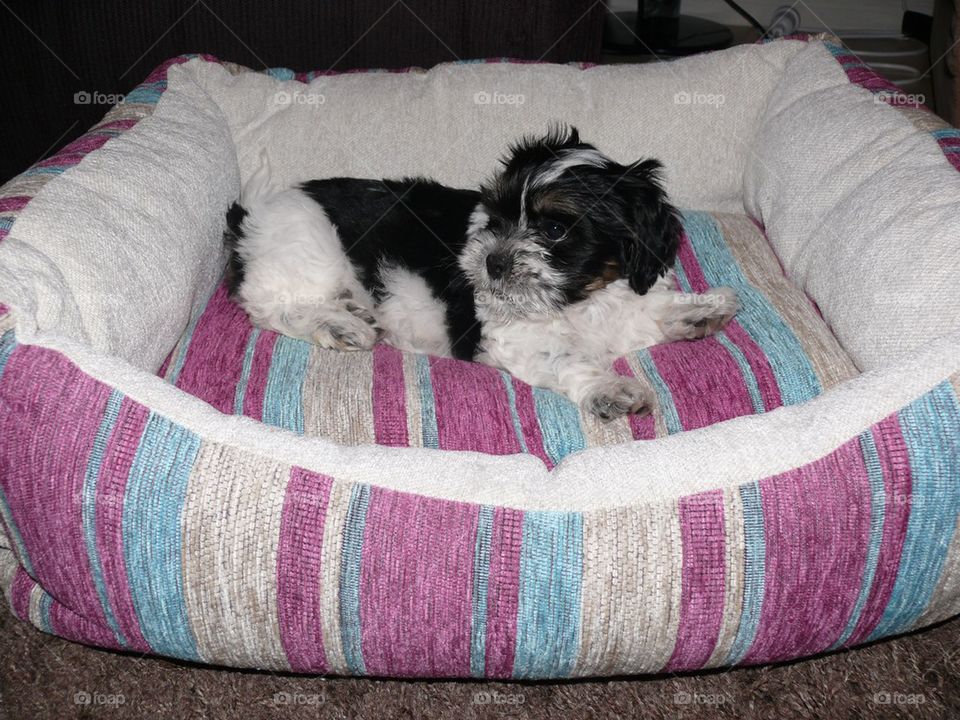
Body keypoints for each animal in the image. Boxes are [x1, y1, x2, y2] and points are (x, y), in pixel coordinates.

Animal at [223, 128, 736, 422]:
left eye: (554, 229)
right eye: (498, 218)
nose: (493, 262)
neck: (584, 298)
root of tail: (251, 215)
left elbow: (644, 311)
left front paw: (698, 309)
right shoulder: (513, 338)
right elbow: (565, 357)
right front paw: (609, 388)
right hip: (308, 251)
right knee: (272, 306)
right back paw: (340, 323)